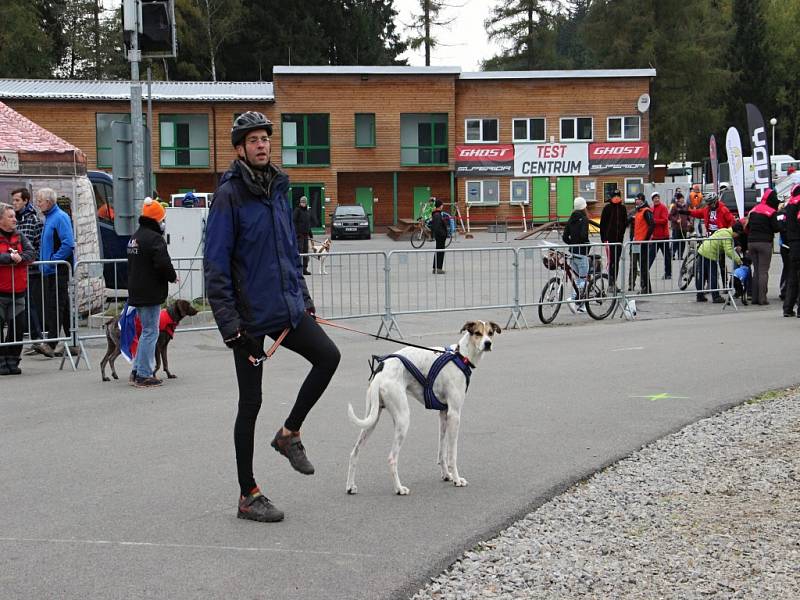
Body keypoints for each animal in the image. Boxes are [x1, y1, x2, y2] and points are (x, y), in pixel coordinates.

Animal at [344, 322, 500, 494]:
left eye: (490, 333)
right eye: (477, 333)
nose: (488, 344)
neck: (461, 357)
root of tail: (380, 373)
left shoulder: (444, 414)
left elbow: (442, 452)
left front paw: (447, 475)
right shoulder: (454, 415)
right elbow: (452, 454)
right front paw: (457, 479)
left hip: (371, 420)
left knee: (354, 452)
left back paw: (350, 486)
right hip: (403, 419)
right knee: (392, 458)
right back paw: (399, 488)